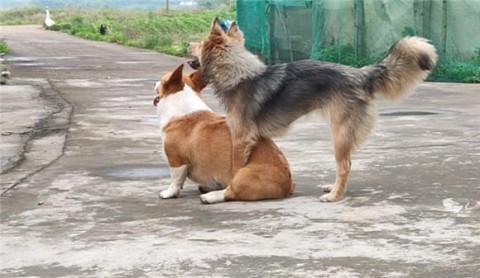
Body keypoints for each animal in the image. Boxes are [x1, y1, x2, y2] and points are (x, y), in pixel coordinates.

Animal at [153, 64, 292, 203]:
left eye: (162, 81)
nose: (155, 82)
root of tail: (288, 185)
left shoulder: (176, 161)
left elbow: (175, 180)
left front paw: (169, 193)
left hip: (241, 176)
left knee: (230, 193)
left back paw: (210, 196)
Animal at [189, 18, 436, 203]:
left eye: (200, 43)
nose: (189, 43)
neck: (237, 74)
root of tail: (361, 74)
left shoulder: (241, 138)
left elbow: (235, 169)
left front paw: (221, 192)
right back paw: (333, 188)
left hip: (339, 135)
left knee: (345, 166)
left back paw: (335, 196)